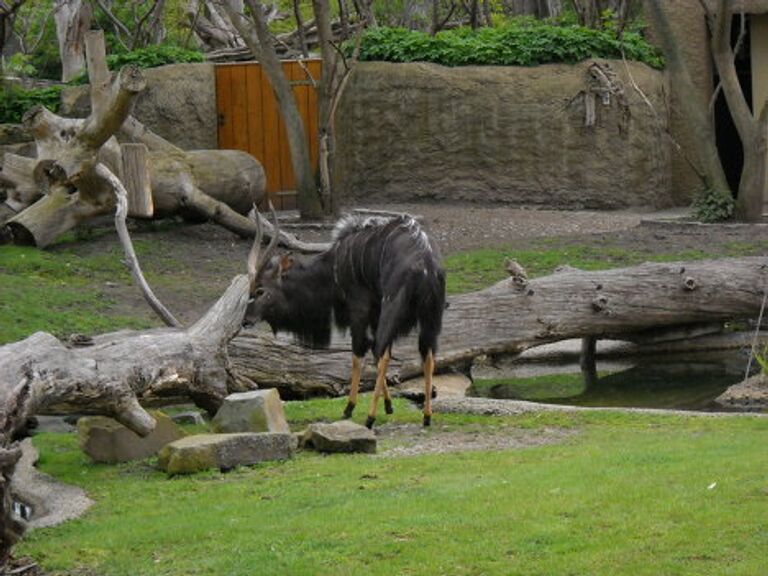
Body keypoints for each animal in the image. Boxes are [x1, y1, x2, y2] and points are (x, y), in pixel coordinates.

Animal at [246, 207, 444, 428]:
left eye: (260, 291)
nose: (246, 319)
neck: (334, 265)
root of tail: (424, 265)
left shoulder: (359, 309)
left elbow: (359, 355)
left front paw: (349, 408)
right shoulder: (374, 314)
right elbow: (373, 355)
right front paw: (389, 405)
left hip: (392, 311)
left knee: (383, 352)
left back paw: (369, 418)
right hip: (429, 320)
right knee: (427, 355)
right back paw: (426, 416)